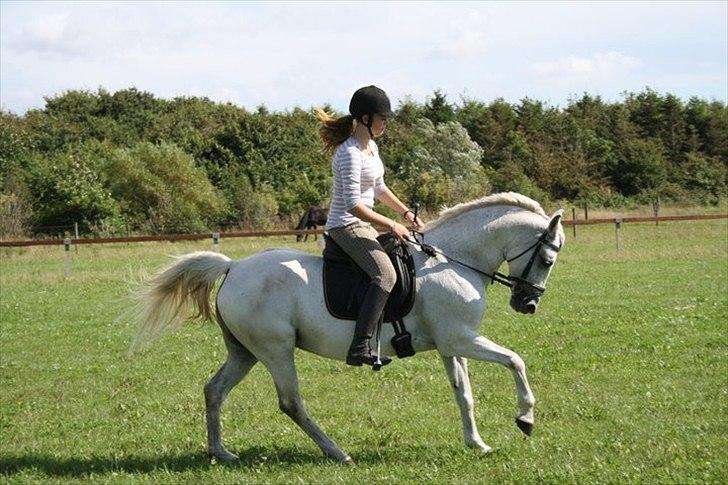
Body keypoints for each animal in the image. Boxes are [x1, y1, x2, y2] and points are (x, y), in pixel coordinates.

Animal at [129, 192, 565, 465]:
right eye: (547, 258)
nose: (527, 304)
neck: (452, 261)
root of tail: (233, 268)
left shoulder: (450, 344)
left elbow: (465, 395)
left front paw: (477, 443)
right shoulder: (462, 338)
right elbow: (516, 361)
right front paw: (525, 418)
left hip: (245, 352)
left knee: (215, 390)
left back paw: (221, 453)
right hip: (275, 351)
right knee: (291, 403)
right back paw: (337, 453)